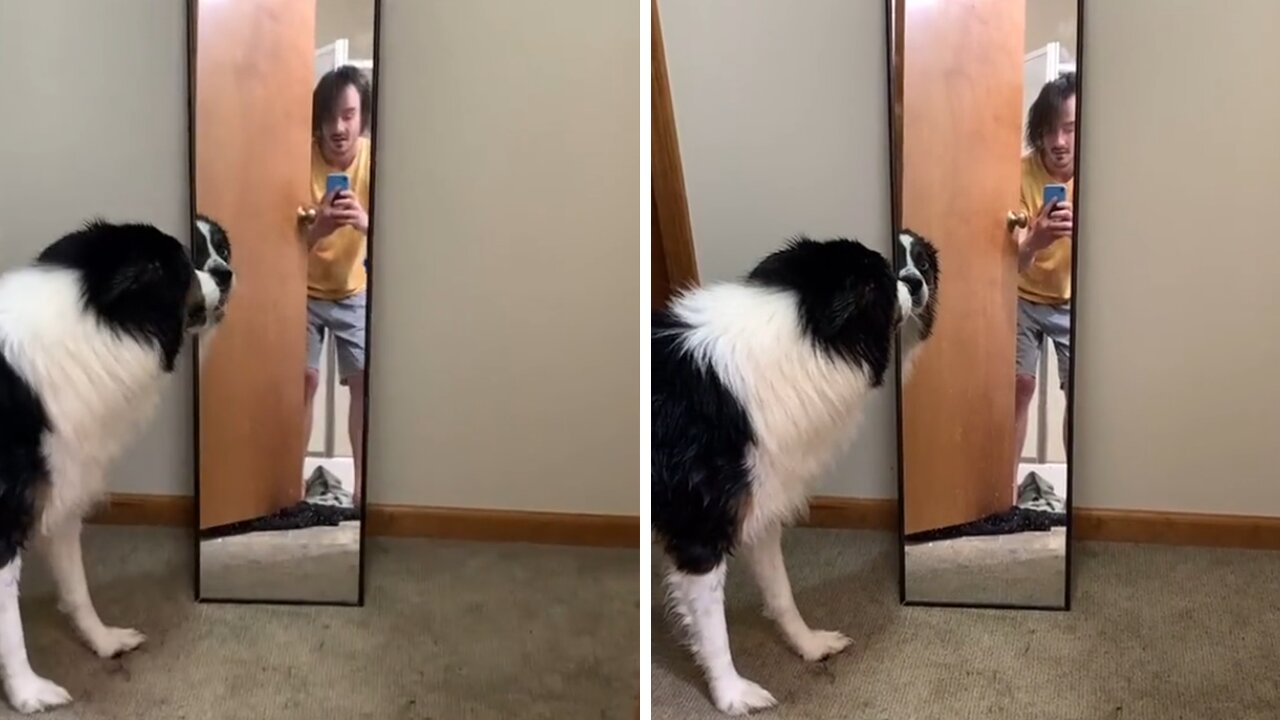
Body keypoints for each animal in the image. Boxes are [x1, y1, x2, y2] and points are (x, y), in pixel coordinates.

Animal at [0, 215, 234, 707]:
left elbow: (77, 587)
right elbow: (10, 627)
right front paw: (29, 693)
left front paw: (104, 641)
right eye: (183, 265)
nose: (226, 274)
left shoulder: (63, 493)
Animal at [650, 230, 942, 712]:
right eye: (883, 280)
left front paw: (808, 644)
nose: (914, 284)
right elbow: (714, 630)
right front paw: (731, 695)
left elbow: (781, 591)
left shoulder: (762, 505)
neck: (803, 323)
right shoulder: (699, 533)